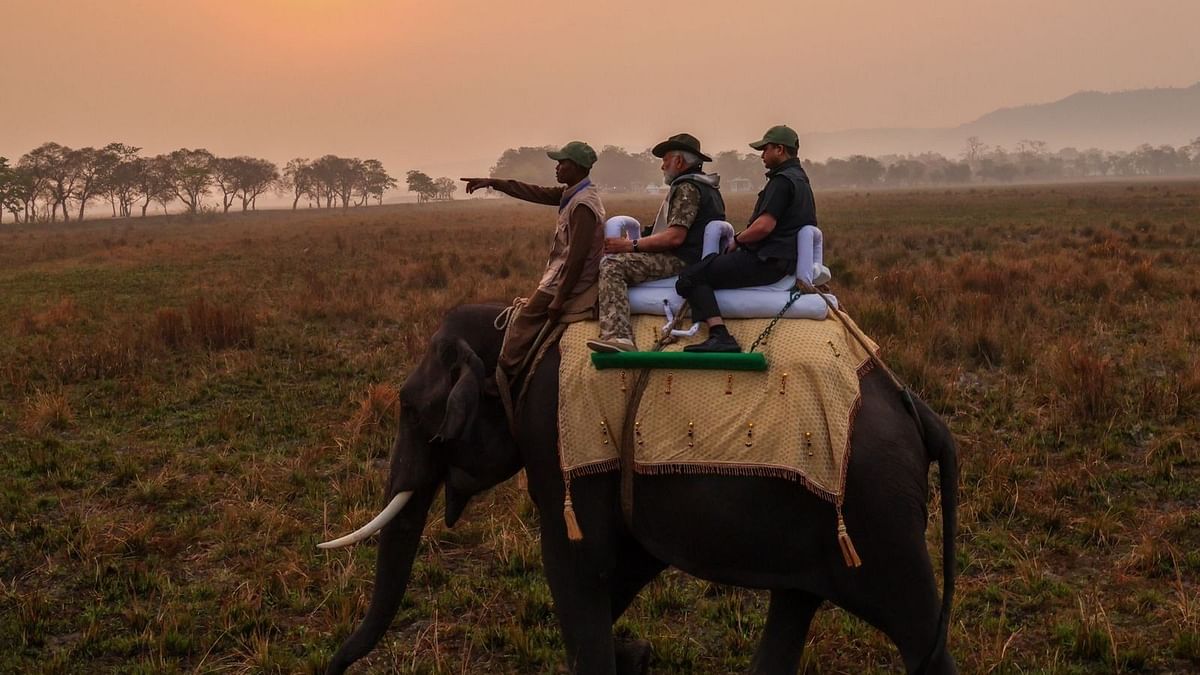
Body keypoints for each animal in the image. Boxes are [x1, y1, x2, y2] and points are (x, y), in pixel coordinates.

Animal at [319, 305, 955, 672]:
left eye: (410, 408)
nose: (333, 666)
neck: (516, 331)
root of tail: (918, 409)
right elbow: (623, 565)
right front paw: (637, 656)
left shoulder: (556, 440)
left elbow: (577, 564)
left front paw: (620, 657)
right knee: (795, 603)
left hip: (879, 513)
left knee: (919, 631)